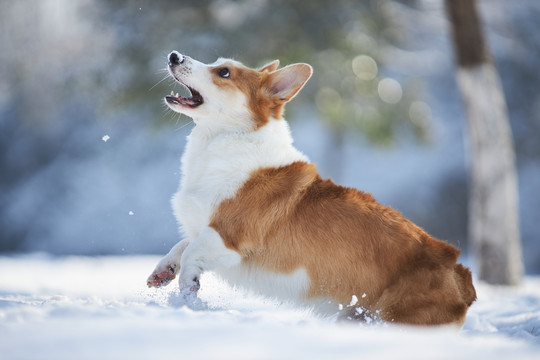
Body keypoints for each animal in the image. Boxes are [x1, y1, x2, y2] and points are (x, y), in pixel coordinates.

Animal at [148, 51, 476, 326]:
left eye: (224, 72)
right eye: (217, 63)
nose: (174, 55)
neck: (230, 138)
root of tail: (457, 271)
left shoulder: (229, 236)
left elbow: (191, 253)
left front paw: (188, 292)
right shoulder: (202, 226)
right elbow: (182, 245)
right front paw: (163, 271)